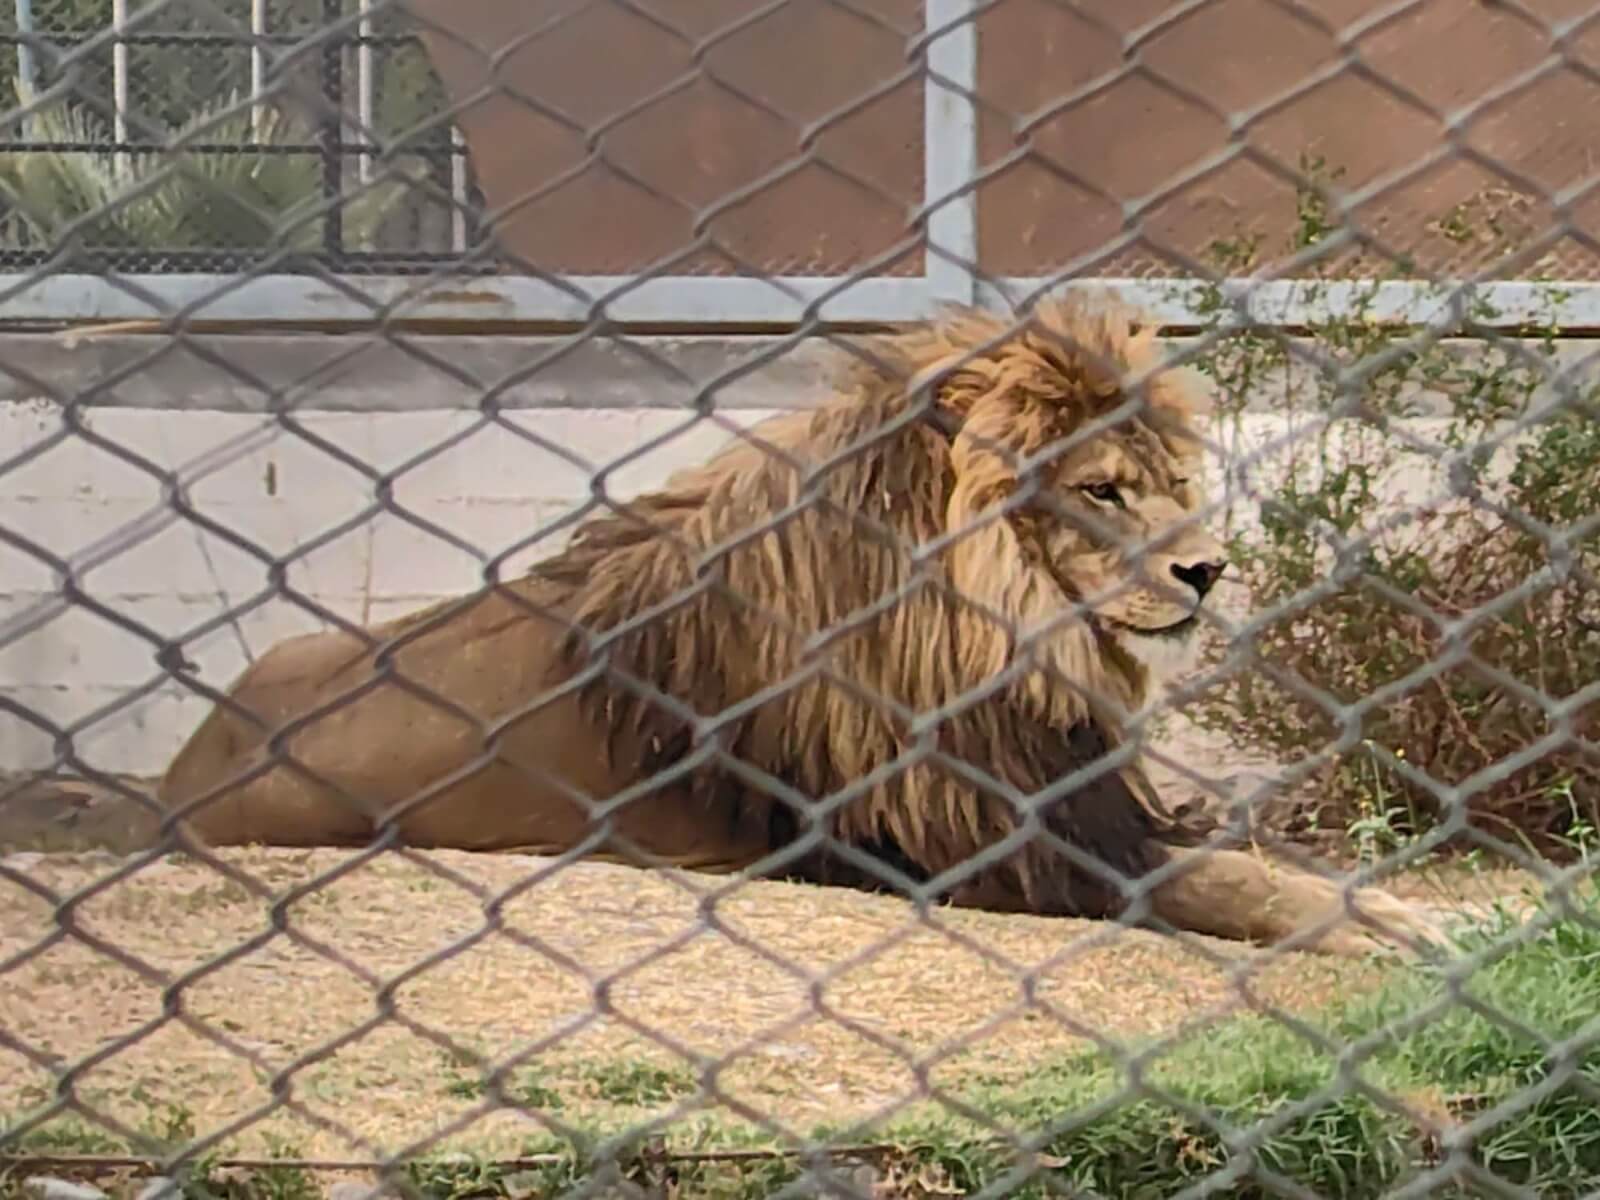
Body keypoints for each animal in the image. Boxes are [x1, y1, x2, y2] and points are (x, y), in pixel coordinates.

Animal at [157, 299, 1448, 959]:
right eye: (1100, 491)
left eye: (1168, 481)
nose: (1208, 569)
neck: (1006, 631)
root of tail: (183, 768)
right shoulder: (1013, 848)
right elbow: (1240, 884)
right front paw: (1397, 925)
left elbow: (1264, 856)